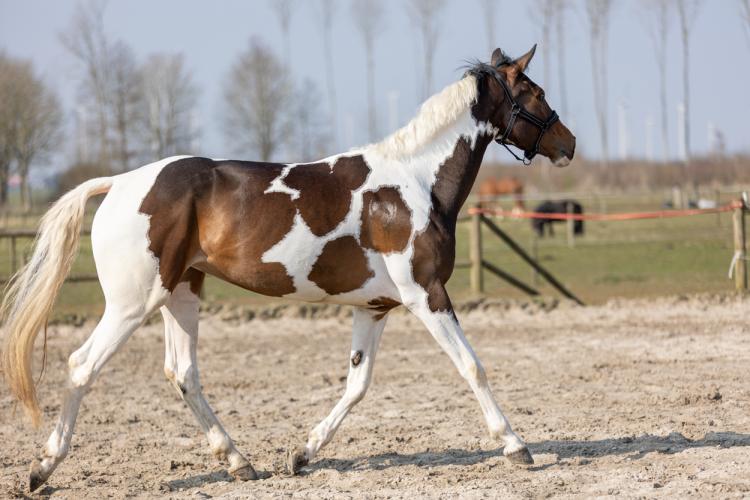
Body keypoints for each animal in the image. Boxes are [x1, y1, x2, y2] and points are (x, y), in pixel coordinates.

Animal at [1, 45, 575, 492]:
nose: (568, 143)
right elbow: (471, 366)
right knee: (82, 366)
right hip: (131, 303)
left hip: (180, 293)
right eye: (536, 93)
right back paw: (42, 469)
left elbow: (357, 384)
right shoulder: (426, 294)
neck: (413, 184)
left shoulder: (376, 307)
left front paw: (302, 454)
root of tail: (118, 183)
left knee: (183, 373)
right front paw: (516, 446)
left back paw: (239, 462)